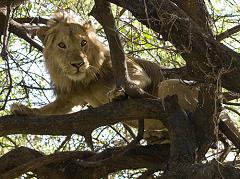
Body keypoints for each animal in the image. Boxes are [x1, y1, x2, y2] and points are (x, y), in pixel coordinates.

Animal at [10, 12, 199, 135]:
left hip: (169, 85)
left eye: (83, 43)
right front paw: (25, 110)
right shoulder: (71, 97)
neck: (85, 81)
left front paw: (117, 93)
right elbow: (49, 109)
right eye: (62, 45)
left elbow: (136, 80)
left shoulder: (130, 67)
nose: (78, 64)